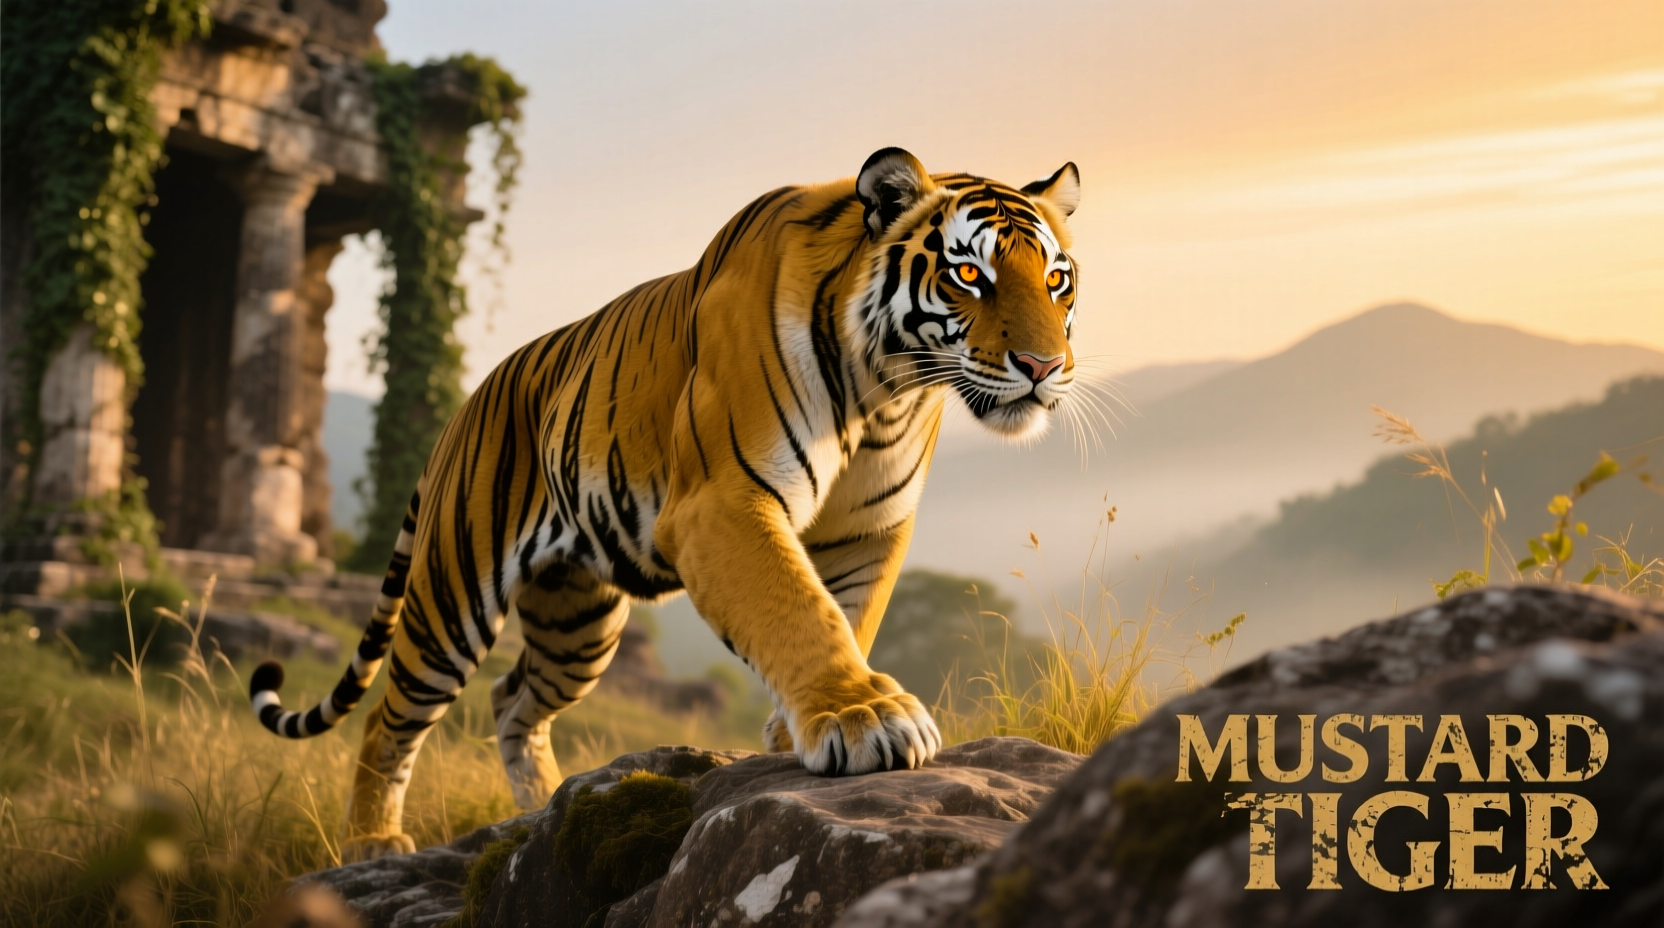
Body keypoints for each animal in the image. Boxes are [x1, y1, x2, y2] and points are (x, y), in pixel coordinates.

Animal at [248, 147, 1082, 860]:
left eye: (1057, 280)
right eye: (968, 274)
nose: (1044, 366)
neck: (886, 390)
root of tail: (462, 410)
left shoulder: (868, 531)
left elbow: (849, 614)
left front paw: (800, 729)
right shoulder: (724, 501)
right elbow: (797, 607)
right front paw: (863, 716)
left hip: (576, 625)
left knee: (514, 700)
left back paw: (540, 812)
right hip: (452, 598)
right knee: (390, 718)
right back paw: (372, 842)